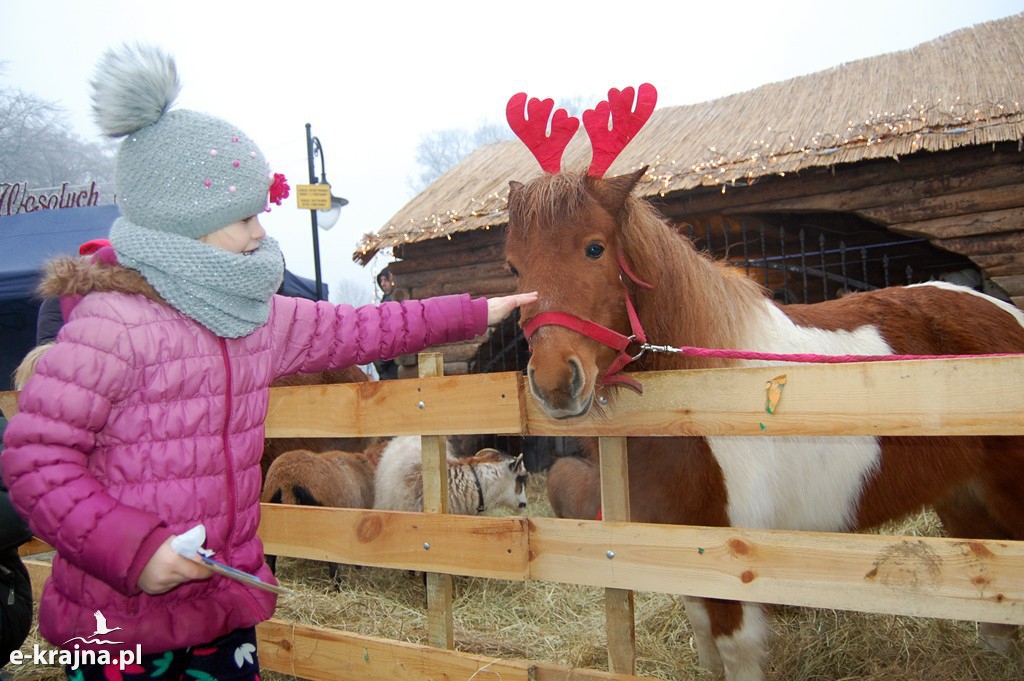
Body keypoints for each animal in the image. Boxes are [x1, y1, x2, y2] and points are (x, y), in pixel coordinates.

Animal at [501, 84, 1024, 679]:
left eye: (595, 247)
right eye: (514, 267)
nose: (554, 383)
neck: (700, 399)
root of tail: (1004, 314)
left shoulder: (733, 560)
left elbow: (734, 647)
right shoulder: (684, 547)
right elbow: (703, 633)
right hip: (963, 496)